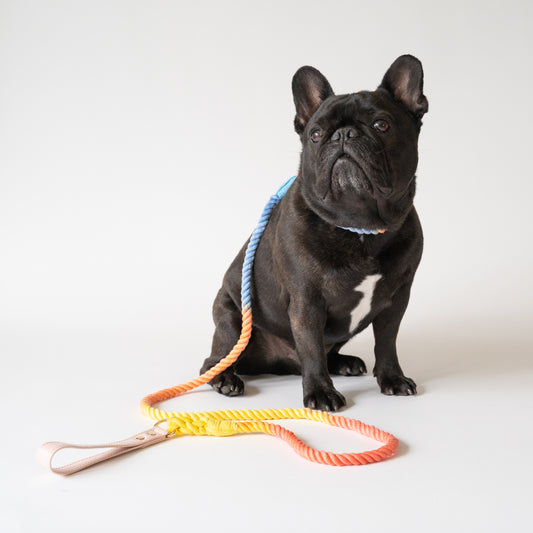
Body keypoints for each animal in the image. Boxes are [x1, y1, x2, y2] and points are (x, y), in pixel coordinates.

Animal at [201, 55, 428, 412]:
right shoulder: (307, 301)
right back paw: (225, 378)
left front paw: (392, 378)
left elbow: (387, 342)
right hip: (230, 317)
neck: (358, 225)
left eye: (382, 125)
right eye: (317, 134)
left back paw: (344, 362)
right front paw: (321, 392)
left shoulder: (396, 299)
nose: (344, 135)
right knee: (215, 360)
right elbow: (310, 348)